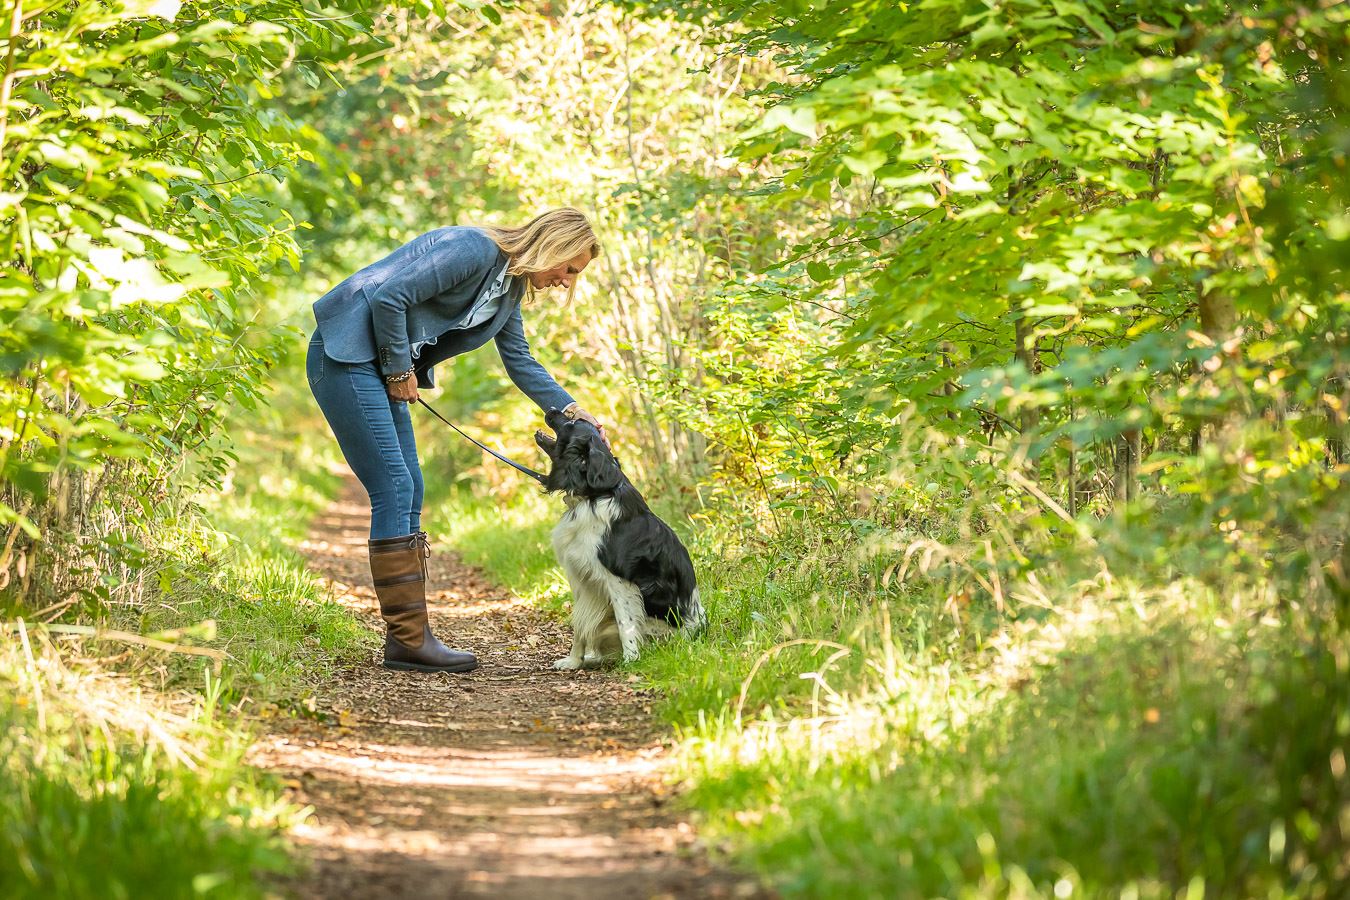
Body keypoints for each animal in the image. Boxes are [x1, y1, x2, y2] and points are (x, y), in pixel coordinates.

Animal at [534, 407, 707, 669]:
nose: (553, 410)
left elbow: (627, 624)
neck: (592, 496)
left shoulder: (618, 580)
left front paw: (631, 660)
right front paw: (573, 661)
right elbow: (579, 626)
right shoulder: (579, 575)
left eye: (572, 422)